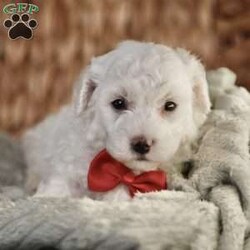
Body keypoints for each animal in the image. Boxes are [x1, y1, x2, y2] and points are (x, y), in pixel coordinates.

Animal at [22, 41, 211, 201]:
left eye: (170, 106)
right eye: (118, 103)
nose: (141, 144)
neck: (125, 171)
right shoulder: (68, 167)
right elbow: (57, 189)